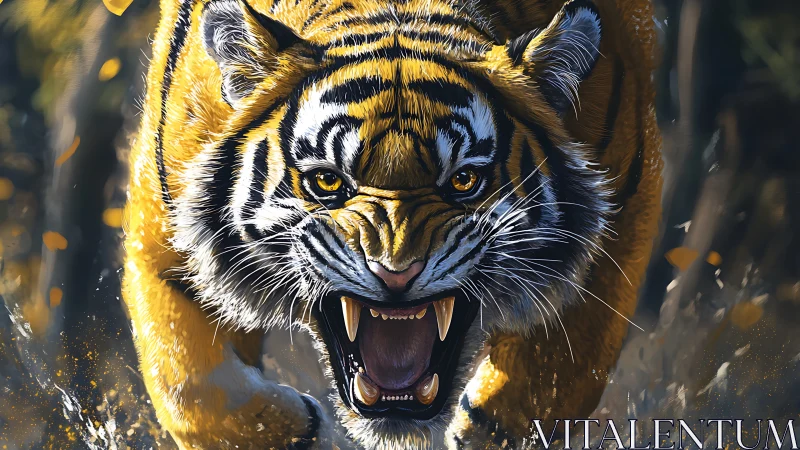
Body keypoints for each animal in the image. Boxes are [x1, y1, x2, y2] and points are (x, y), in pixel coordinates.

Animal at [123, 0, 662, 447]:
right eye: (327, 181)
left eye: (464, 180)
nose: (396, 274)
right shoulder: (168, 245)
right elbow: (190, 386)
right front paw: (304, 432)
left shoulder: (619, 221)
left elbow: (557, 374)